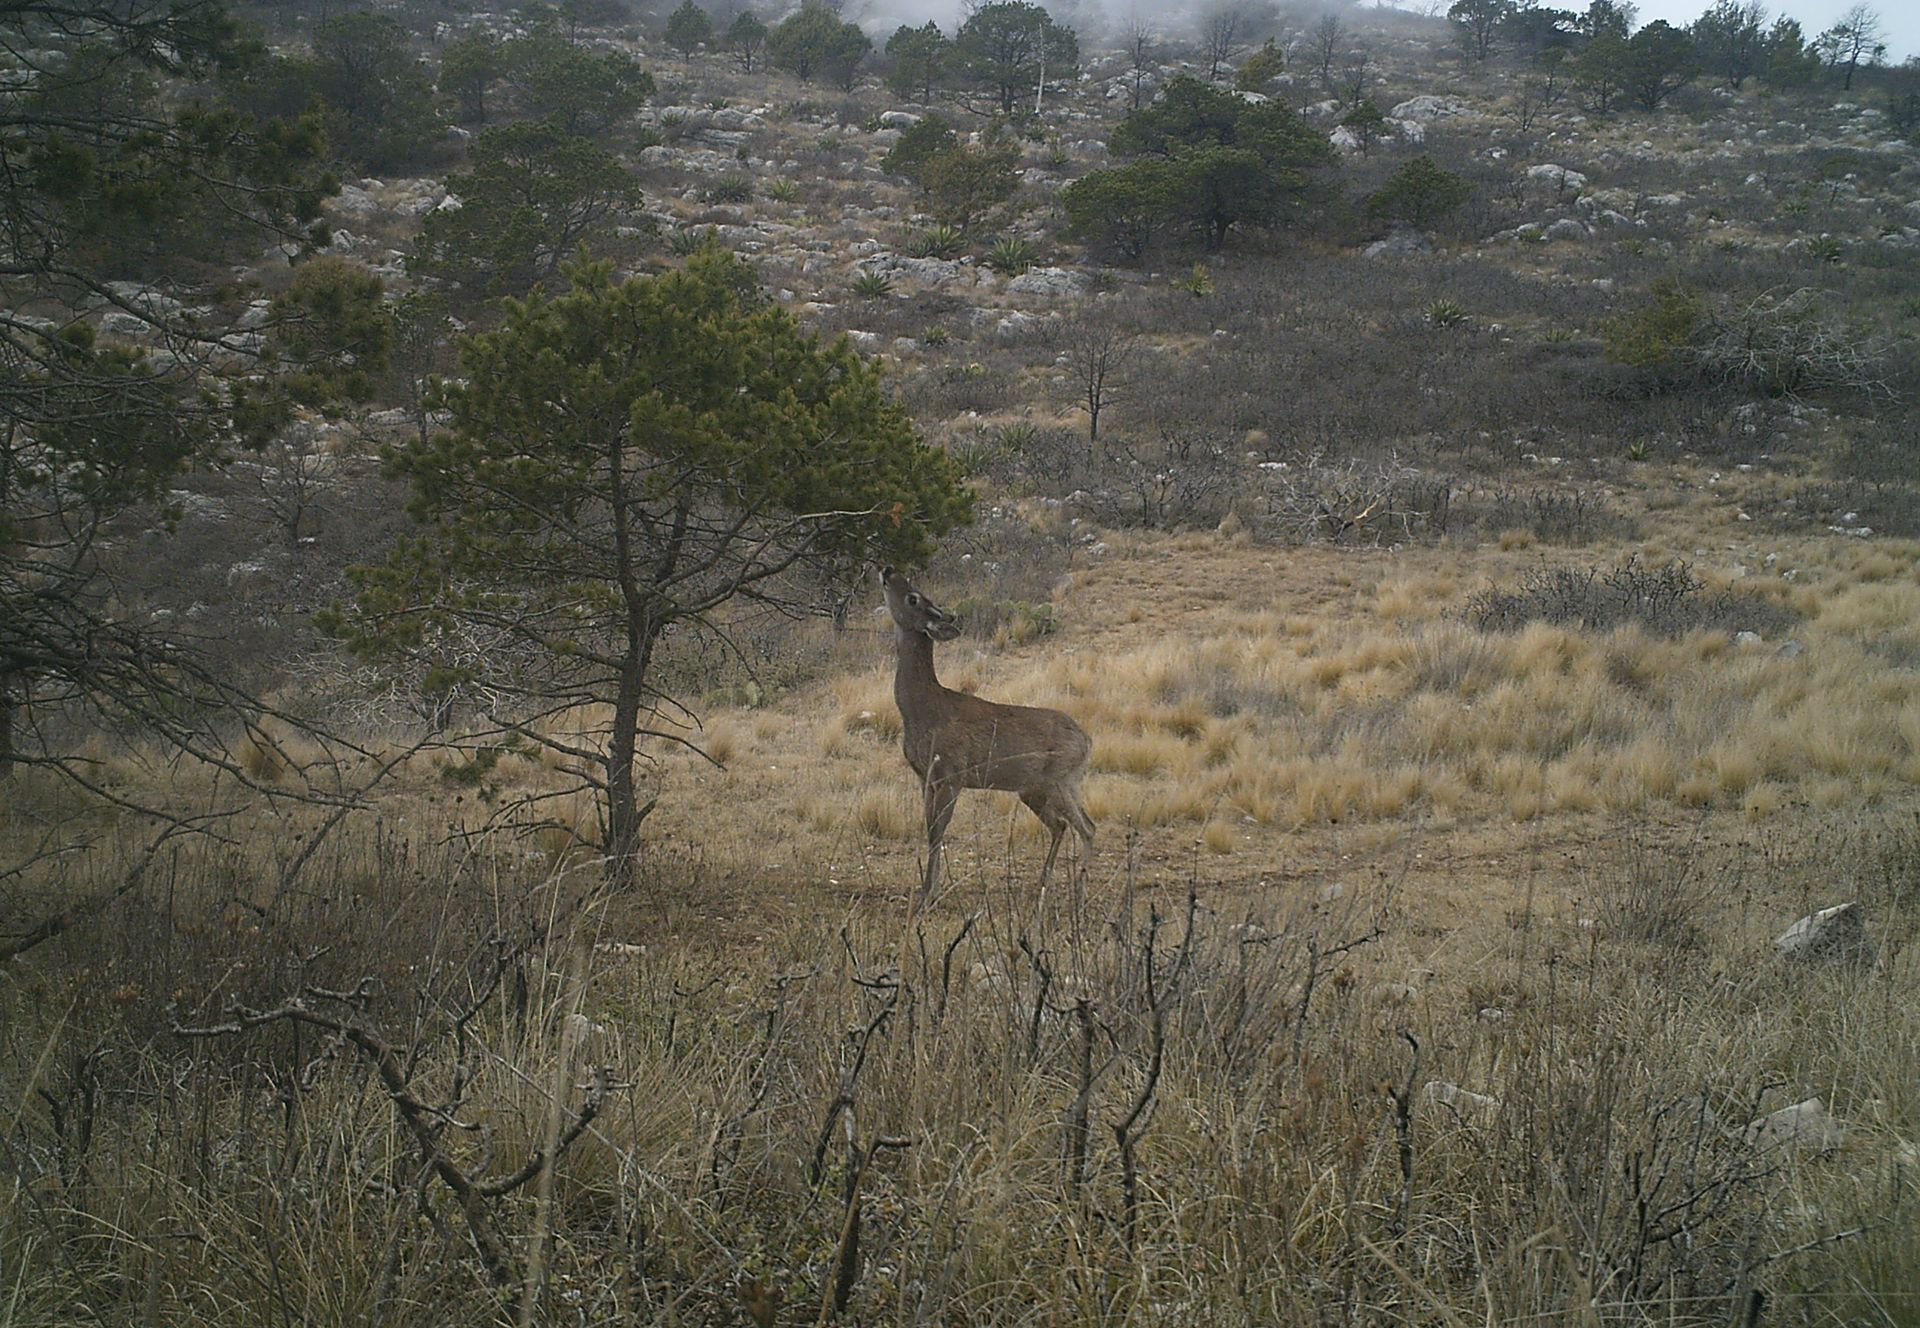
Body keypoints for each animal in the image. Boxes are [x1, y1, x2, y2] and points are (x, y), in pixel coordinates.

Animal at [880, 567, 1095, 904]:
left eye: (913, 597)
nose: (887, 570)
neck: (923, 711)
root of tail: (1087, 741)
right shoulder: (925, 777)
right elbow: (929, 828)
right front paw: (927, 889)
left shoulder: (951, 774)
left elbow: (938, 831)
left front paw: (930, 894)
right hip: (1038, 789)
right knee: (1064, 825)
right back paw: (1043, 884)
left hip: (1058, 779)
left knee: (1085, 827)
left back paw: (1079, 891)